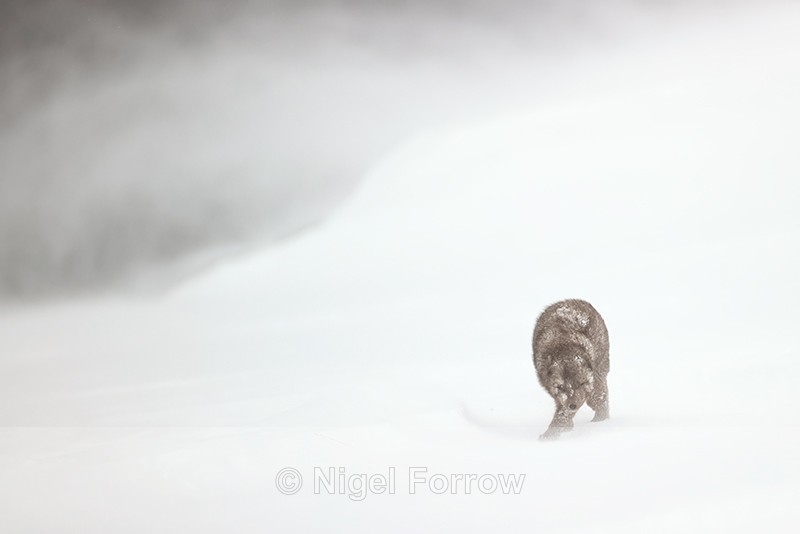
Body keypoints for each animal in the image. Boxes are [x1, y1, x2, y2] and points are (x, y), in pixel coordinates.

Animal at [532, 299, 610, 440]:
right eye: (560, 387)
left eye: (580, 384)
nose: (573, 405)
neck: (563, 346)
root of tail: (572, 300)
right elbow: (562, 408)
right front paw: (563, 428)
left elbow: (563, 414)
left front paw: (551, 434)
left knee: (598, 398)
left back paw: (601, 421)